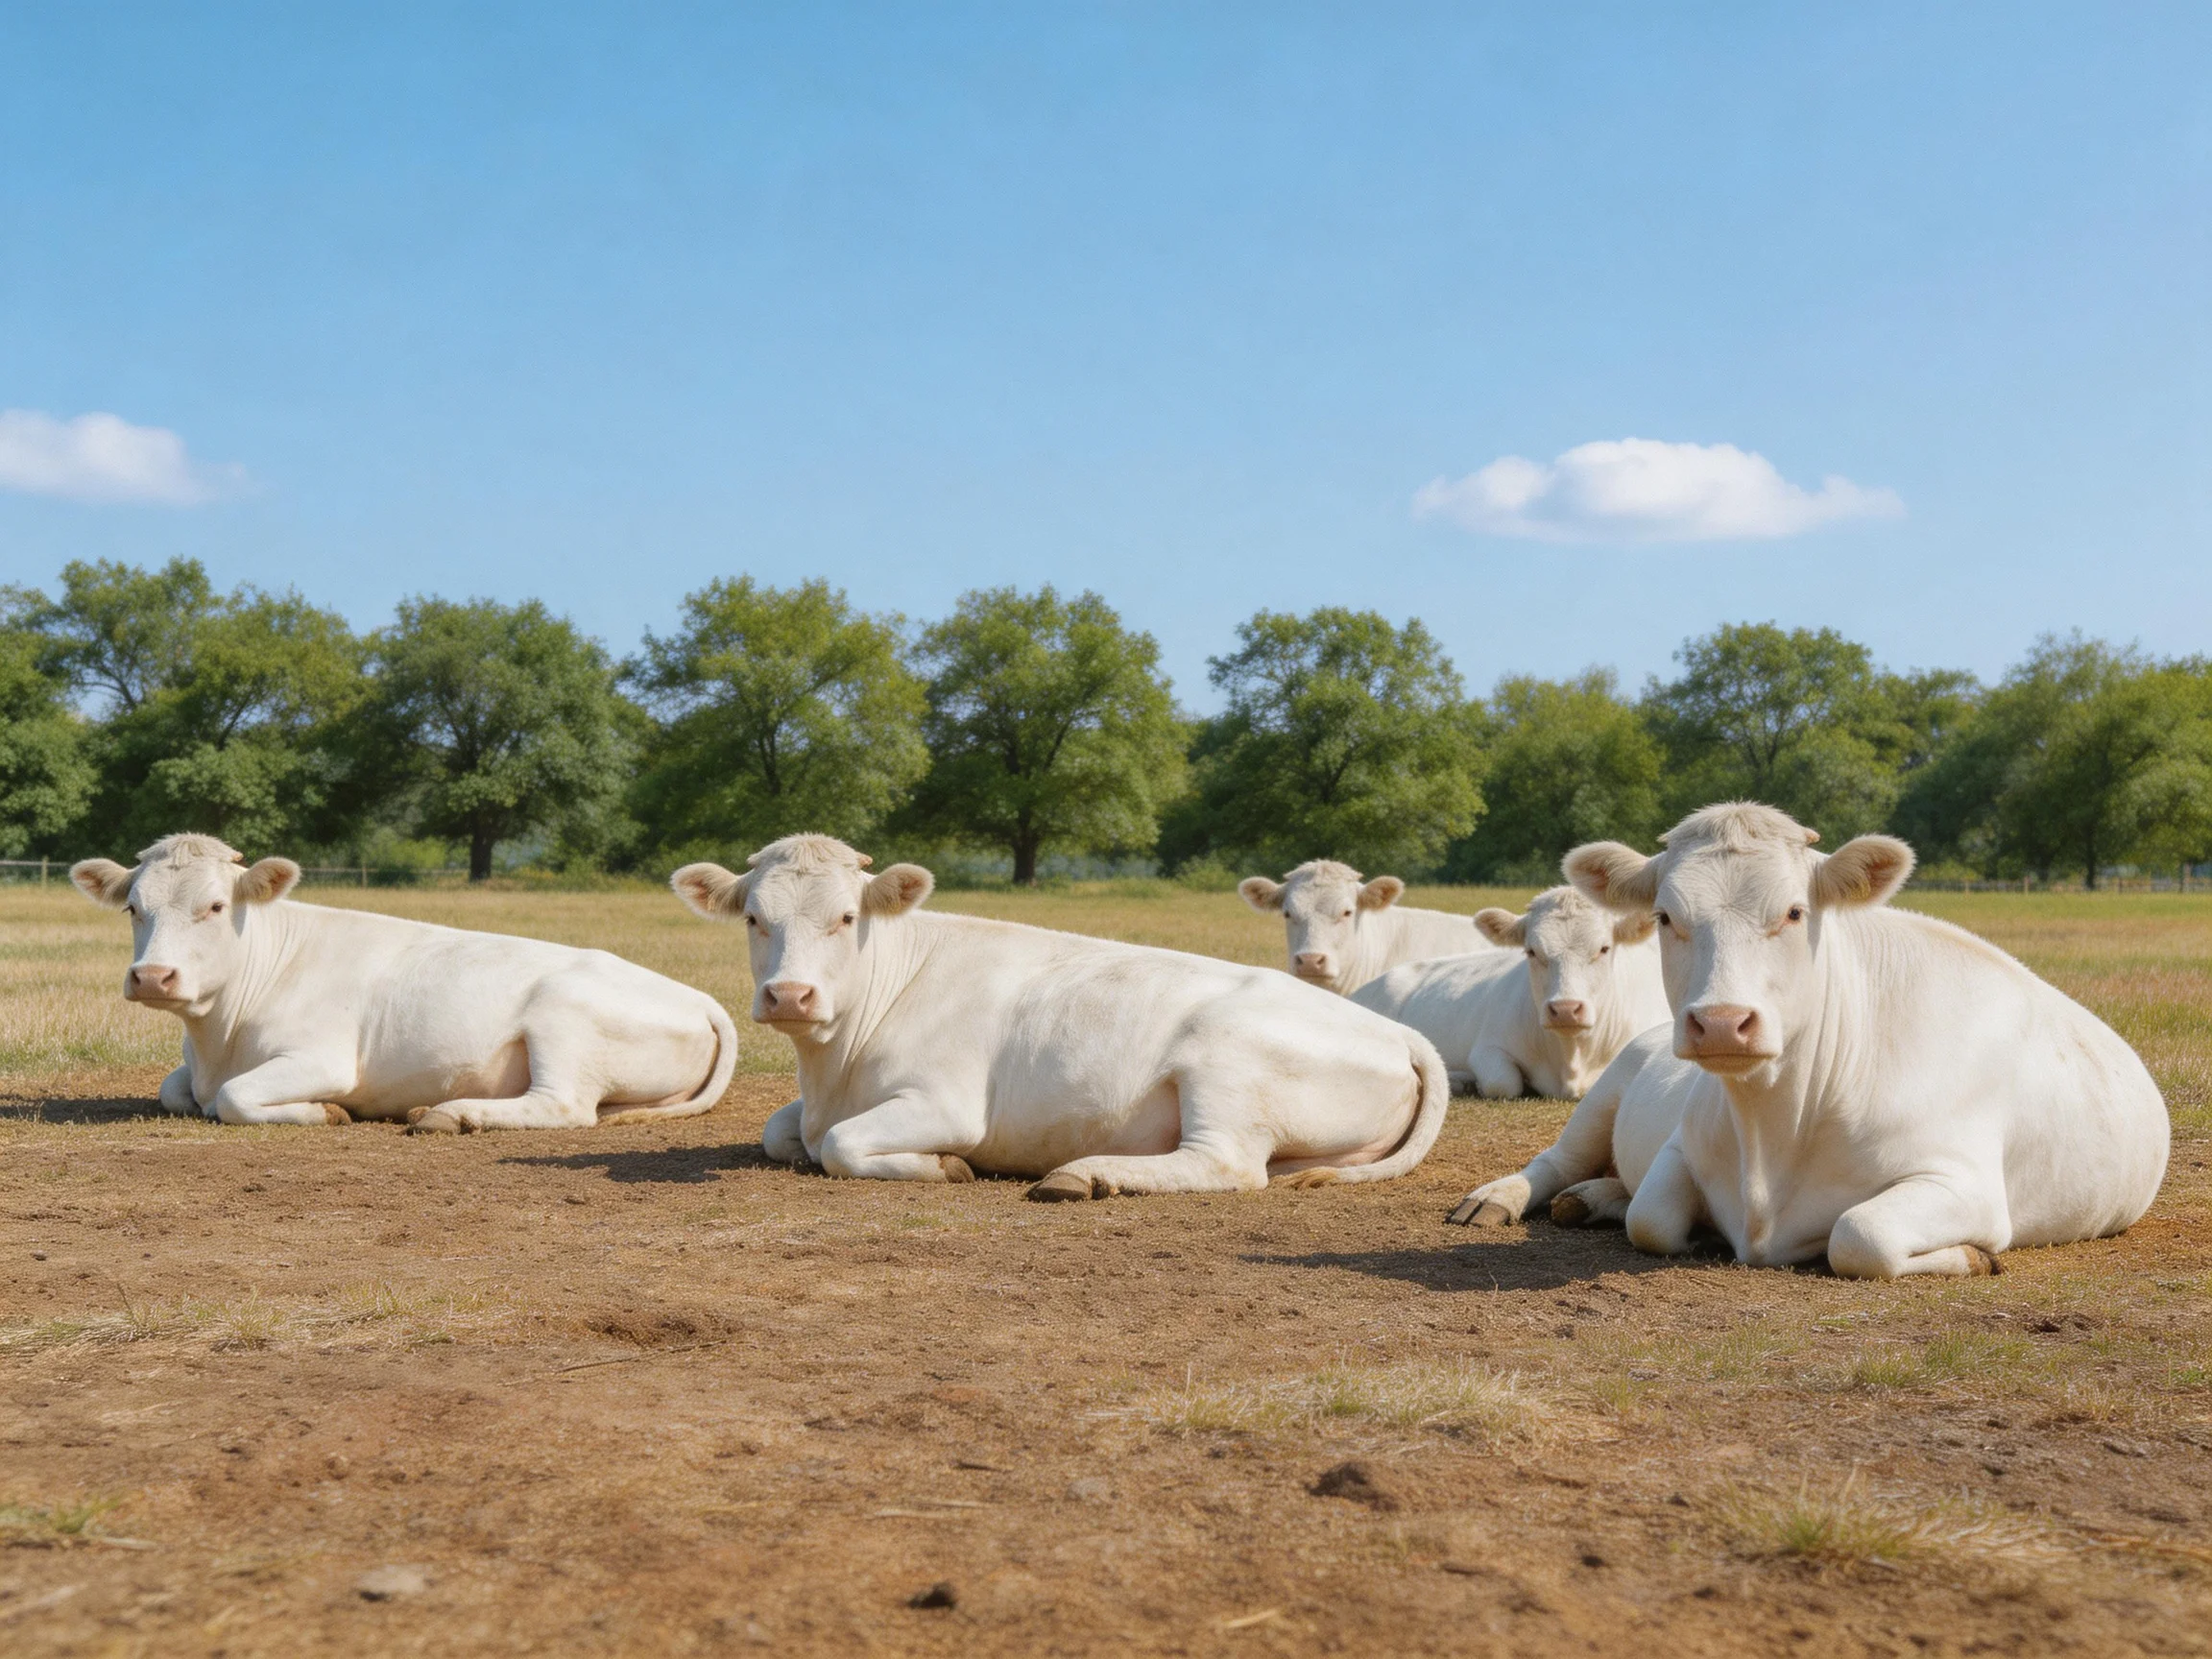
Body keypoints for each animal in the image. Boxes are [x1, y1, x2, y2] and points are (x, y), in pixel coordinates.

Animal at [71, 833, 738, 1132]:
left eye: (213, 906)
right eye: (133, 908)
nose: (153, 976)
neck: (216, 1039)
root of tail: (699, 997)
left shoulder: (323, 1057)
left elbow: (233, 1099)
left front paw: (325, 1111)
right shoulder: (192, 1069)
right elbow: (172, 1089)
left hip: (563, 1019)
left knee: (565, 1105)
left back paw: (449, 1114)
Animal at [672, 833, 1449, 1198]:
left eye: (844, 917)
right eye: (753, 918)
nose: (789, 996)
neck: (833, 1071)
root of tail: (1400, 1032)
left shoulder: (947, 1103)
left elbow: (841, 1145)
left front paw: (945, 1166)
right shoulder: (806, 1108)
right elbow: (780, 1131)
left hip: (1224, 1068)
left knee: (1225, 1163)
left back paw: (1085, 1174)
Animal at [1351, 886, 1667, 1099]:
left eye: (1604, 948)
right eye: (1531, 951)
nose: (1565, 1009)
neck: (1572, 1057)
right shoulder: (1488, 1046)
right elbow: (1503, 1083)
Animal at [1445, 803, 2169, 1279]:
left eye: (1795, 912)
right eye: (1665, 916)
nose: (1721, 1021)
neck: (1777, 1124)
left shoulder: (1967, 1183)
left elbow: (1859, 1236)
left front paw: (1973, 1256)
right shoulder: (1682, 1146)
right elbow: (1651, 1217)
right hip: (1610, 1091)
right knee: (1556, 1161)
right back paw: (1501, 1199)